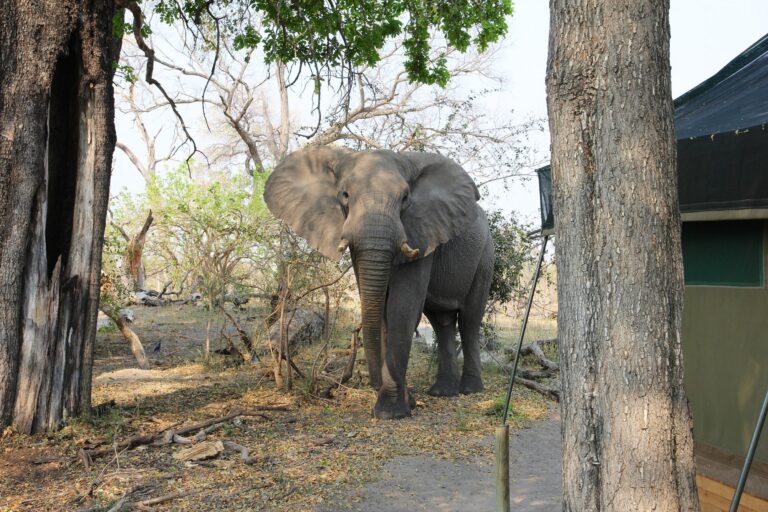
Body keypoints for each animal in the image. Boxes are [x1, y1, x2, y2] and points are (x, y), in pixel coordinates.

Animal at [264, 147, 495, 419]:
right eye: (345, 195)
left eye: (405, 198)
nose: (375, 384)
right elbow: (378, 307)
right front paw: (406, 402)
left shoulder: (421, 232)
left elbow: (401, 308)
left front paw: (389, 412)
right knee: (442, 322)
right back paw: (442, 392)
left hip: (485, 256)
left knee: (469, 319)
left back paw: (470, 390)